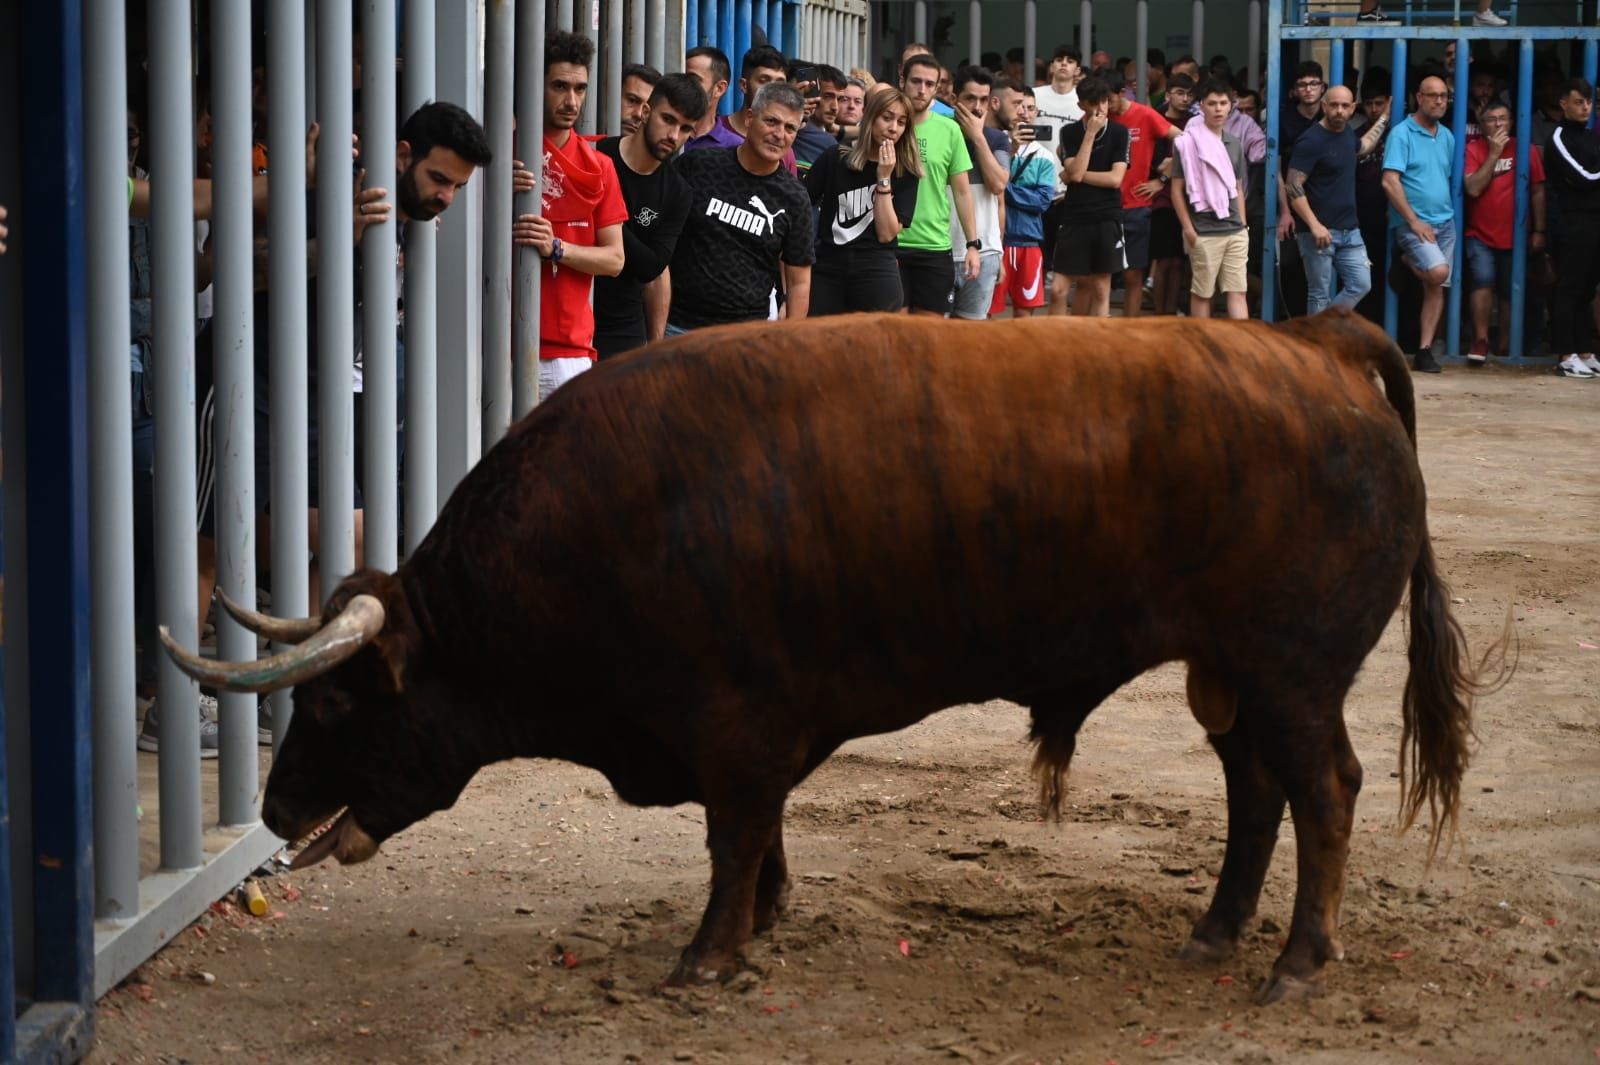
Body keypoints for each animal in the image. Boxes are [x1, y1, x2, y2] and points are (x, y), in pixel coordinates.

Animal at [172, 305, 1497, 997]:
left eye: (336, 707)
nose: (278, 810)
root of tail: (1314, 343)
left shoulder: (735, 726)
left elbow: (732, 832)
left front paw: (707, 957)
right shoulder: (758, 733)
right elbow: (758, 836)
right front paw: (763, 922)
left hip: (1290, 673)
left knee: (1323, 790)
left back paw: (1298, 961)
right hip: (1233, 674)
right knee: (1254, 791)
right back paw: (1217, 932)